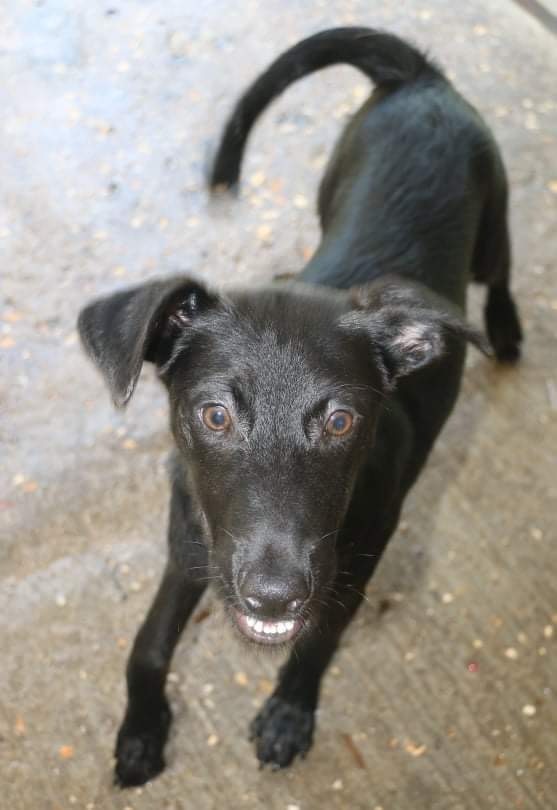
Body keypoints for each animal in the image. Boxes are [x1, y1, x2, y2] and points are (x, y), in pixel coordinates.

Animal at [77, 25, 520, 784]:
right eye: (214, 415)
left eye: (341, 421)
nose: (274, 595)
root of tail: (419, 76)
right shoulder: (188, 542)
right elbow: (149, 641)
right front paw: (140, 729)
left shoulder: (351, 568)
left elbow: (314, 646)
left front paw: (288, 712)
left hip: (491, 216)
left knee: (501, 267)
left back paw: (508, 325)